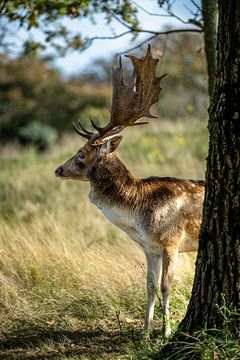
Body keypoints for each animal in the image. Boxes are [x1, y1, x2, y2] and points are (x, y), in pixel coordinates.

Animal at [55, 45, 204, 338]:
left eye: (81, 154)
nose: (58, 169)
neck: (140, 218)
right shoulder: (149, 249)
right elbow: (149, 285)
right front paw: (144, 331)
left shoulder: (171, 242)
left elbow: (167, 286)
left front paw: (166, 333)